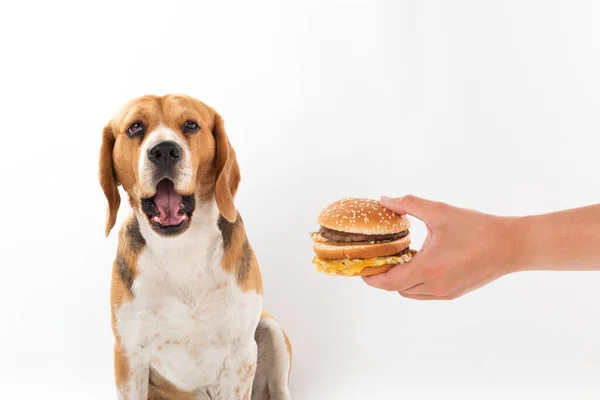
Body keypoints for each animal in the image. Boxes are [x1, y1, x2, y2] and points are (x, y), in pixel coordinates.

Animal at [99, 94, 292, 400]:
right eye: (134, 128)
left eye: (191, 125)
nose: (164, 151)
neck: (181, 249)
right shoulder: (128, 356)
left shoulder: (240, 354)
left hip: (270, 329)